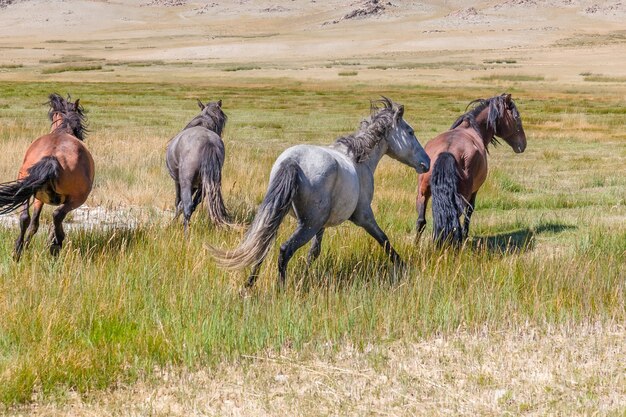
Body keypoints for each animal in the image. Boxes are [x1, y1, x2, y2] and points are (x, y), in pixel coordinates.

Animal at [0, 93, 94, 260]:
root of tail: (52, 157)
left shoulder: (38, 196)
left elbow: (33, 224)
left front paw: (26, 246)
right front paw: (53, 239)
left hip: (26, 188)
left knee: (24, 218)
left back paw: (17, 251)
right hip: (77, 198)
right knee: (57, 215)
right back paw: (56, 243)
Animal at [165, 99, 233, 232]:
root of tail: (208, 142)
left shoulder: (178, 182)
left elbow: (178, 202)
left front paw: (172, 224)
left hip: (186, 182)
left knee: (187, 206)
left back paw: (186, 234)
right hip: (207, 185)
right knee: (193, 205)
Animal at [210, 96, 428, 288]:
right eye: (410, 132)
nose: (426, 163)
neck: (358, 159)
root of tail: (292, 162)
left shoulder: (322, 225)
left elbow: (314, 252)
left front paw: (306, 275)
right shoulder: (363, 216)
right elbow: (384, 240)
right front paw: (404, 268)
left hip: (283, 215)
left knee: (263, 244)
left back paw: (249, 285)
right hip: (308, 224)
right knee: (284, 250)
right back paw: (280, 288)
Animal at [414, 92, 528, 245]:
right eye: (516, 117)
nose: (523, 144)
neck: (471, 128)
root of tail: (447, 151)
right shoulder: (474, 191)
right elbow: (469, 212)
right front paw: (465, 235)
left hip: (422, 193)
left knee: (421, 221)